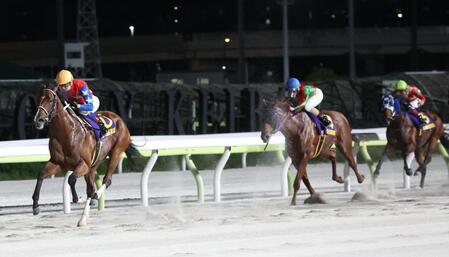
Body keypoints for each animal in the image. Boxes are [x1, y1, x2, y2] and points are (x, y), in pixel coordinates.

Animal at [32, 87, 140, 221]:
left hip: (116, 152)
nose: (39, 120)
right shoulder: (57, 163)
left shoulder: (83, 164)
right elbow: (41, 175)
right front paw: (35, 206)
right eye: (38, 100)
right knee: (90, 184)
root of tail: (119, 119)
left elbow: (72, 179)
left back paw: (95, 196)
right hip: (95, 162)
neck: (67, 134)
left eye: (51, 100)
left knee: (107, 180)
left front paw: (77, 198)